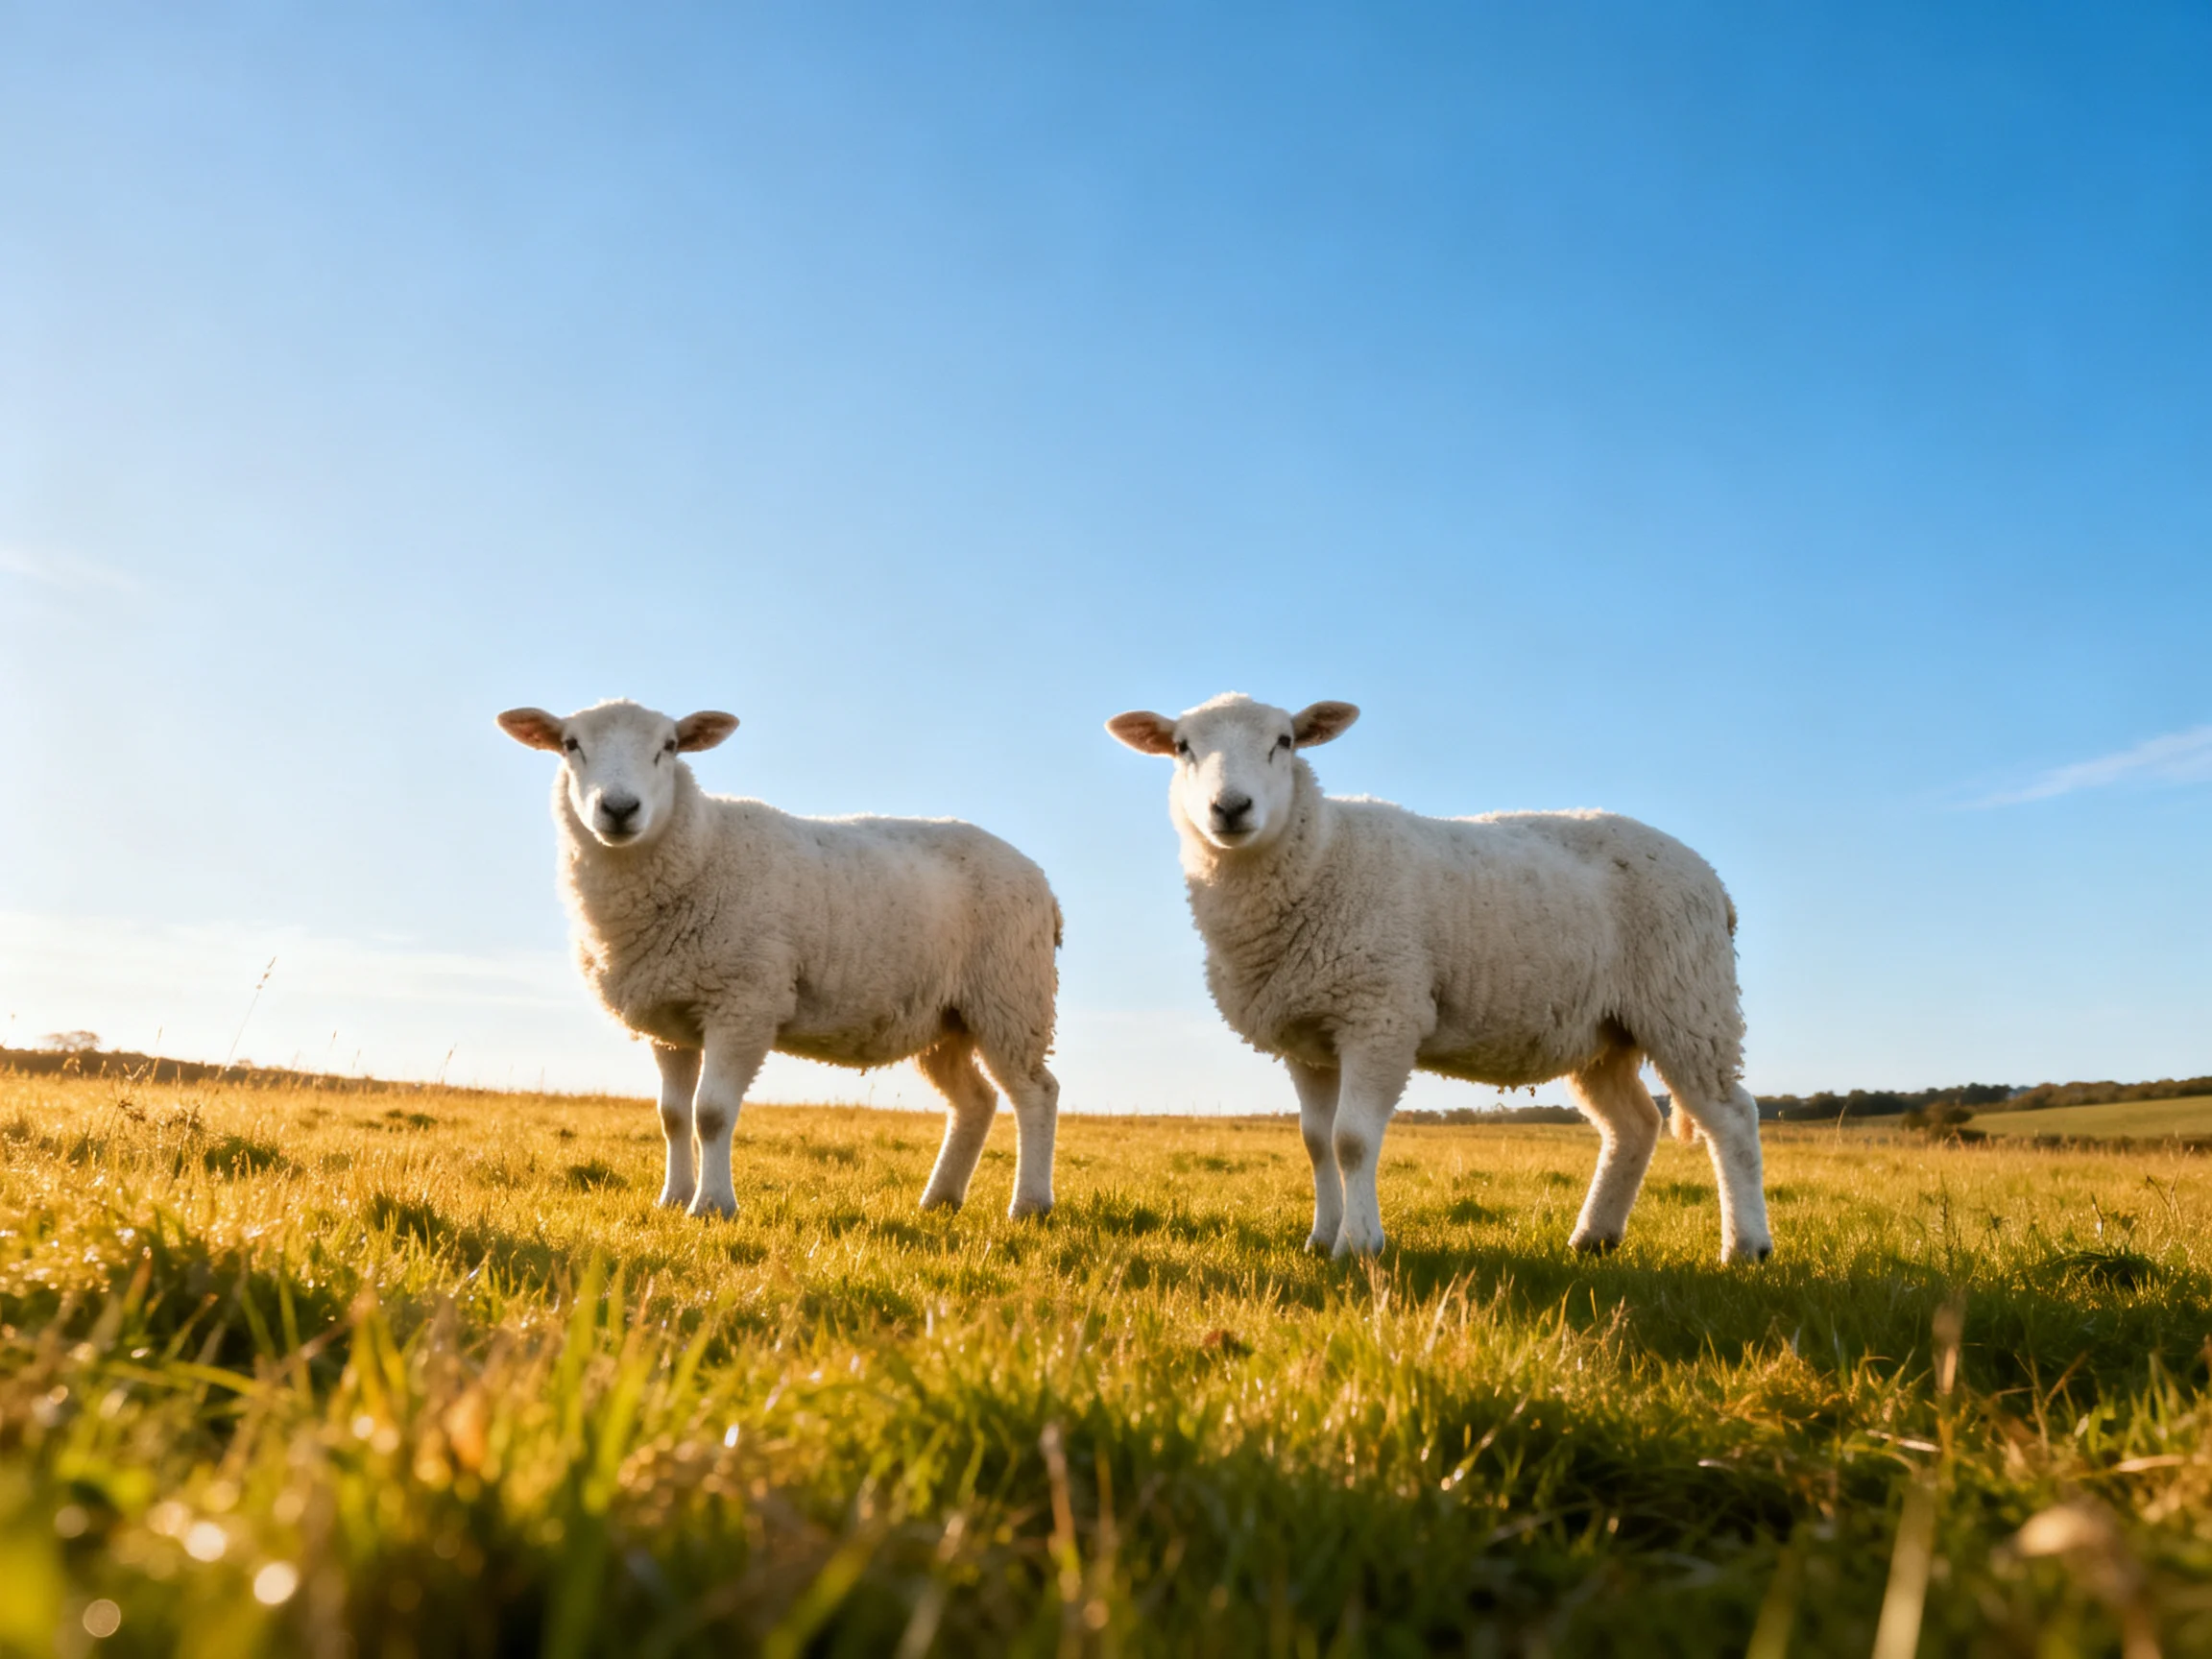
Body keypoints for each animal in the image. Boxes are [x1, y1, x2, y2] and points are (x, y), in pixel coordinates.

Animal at [498, 699, 1063, 1221]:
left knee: (1037, 1092)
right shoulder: (670, 1021)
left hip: (1011, 996)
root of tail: (1040, 877)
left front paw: (712, 1207)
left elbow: (711, 1114)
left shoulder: (744, 1002)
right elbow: (673, 1116)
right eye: (571, 744)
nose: (618, 808)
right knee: (975, 1101)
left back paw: (1029, 1205)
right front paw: (673, 1198)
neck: (702, 848)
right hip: (947, 1017)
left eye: (670, 746)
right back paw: (939, 1200)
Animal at [1106, 693, 1772, 1264]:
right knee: (1633, 1125)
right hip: (1605, 1029)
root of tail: (1714, 881)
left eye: (1285, 741)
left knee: (1731, 1116)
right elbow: (1316, 1141)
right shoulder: (1307, 1036)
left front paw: (1360, 1245)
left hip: (1688, 1000)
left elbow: (1351, 1139)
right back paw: (1594, 1238)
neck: (1323, 855)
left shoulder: (1381, 1014)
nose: (1230, 808)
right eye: (1182, 747)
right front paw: (1320, 1240)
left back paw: (1746, 1246)